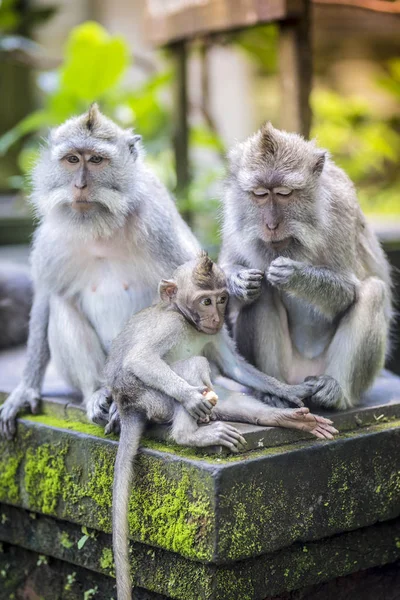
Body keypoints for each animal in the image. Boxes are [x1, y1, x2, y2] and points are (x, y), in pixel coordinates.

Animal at [104, 252, 336, 600]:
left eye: (222, 299)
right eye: (205, 300)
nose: (215, 316)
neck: (188, 323)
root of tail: (126, 404)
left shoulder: (212, 333)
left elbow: (234, 366)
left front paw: (289, 391)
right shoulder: (171, 325)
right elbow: (140, 359)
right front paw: (190, 397)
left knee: (216, 385)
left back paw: (281, 418)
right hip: (150, 397)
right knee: (193, 366)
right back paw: (190, 433)